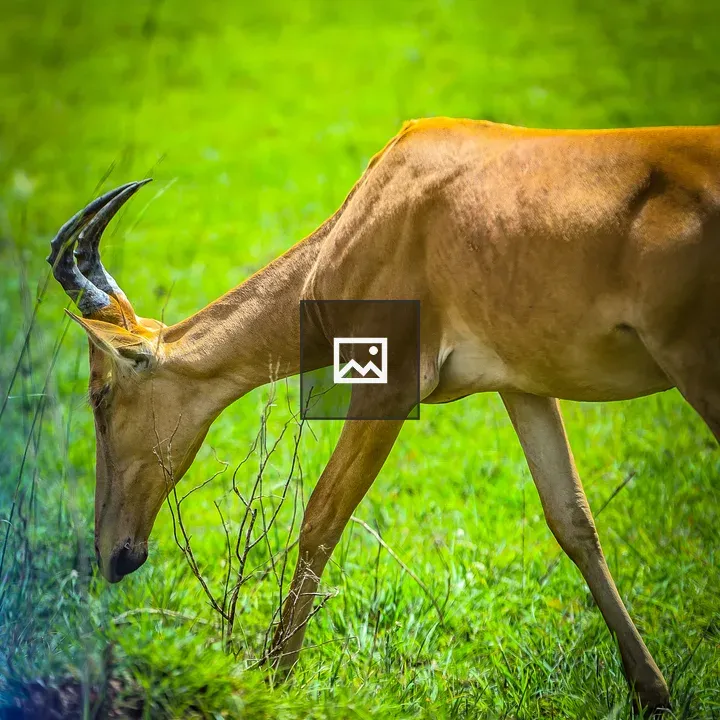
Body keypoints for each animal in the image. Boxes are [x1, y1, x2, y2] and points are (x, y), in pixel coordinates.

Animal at [48, 118, 720, 713]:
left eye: (99, 394)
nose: (114, 553)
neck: (382, 202)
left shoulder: (389, 389)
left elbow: (321, 517)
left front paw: (274, 677)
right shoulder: (524, 386)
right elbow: (572, 519)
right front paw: (654, 693)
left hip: (698, 370)